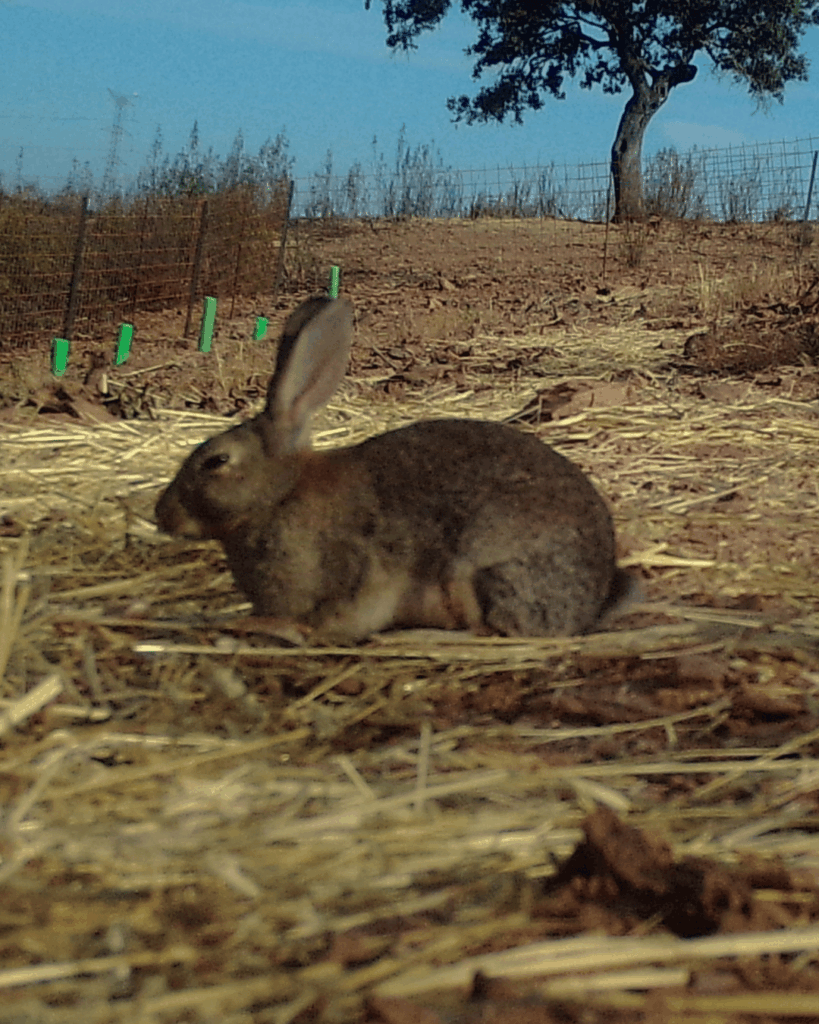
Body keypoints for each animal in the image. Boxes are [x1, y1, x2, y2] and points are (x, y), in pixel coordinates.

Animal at [155, 296, 627, 643]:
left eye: (215, 461)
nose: (163, 515)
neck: (282, 494)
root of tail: (592, 602)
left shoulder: (351, 575)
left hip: (477, 564)